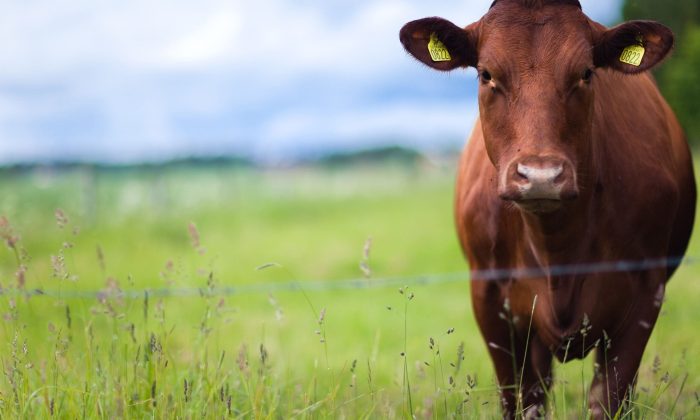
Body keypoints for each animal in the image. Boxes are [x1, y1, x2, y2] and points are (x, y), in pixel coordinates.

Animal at [400, 0, 696, 418]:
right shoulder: (489, 299)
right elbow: (519, 397)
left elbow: (609, 398)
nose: (540, 176)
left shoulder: (645, 292)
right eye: (487, 74)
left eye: (586, 72)